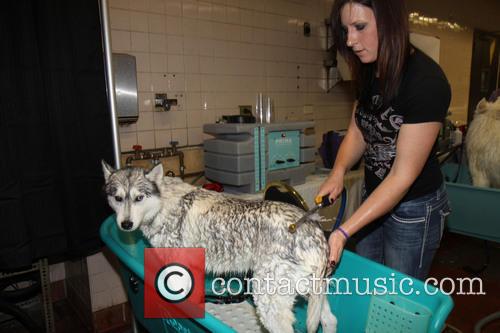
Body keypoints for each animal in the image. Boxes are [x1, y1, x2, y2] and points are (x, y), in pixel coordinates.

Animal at [101, 160, 336, 330]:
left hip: (268, 301)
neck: (164, 206)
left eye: (139, 197)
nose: (126, 224)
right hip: (310, 294)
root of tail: (312, 228)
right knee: (330, 320)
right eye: (118, 198)